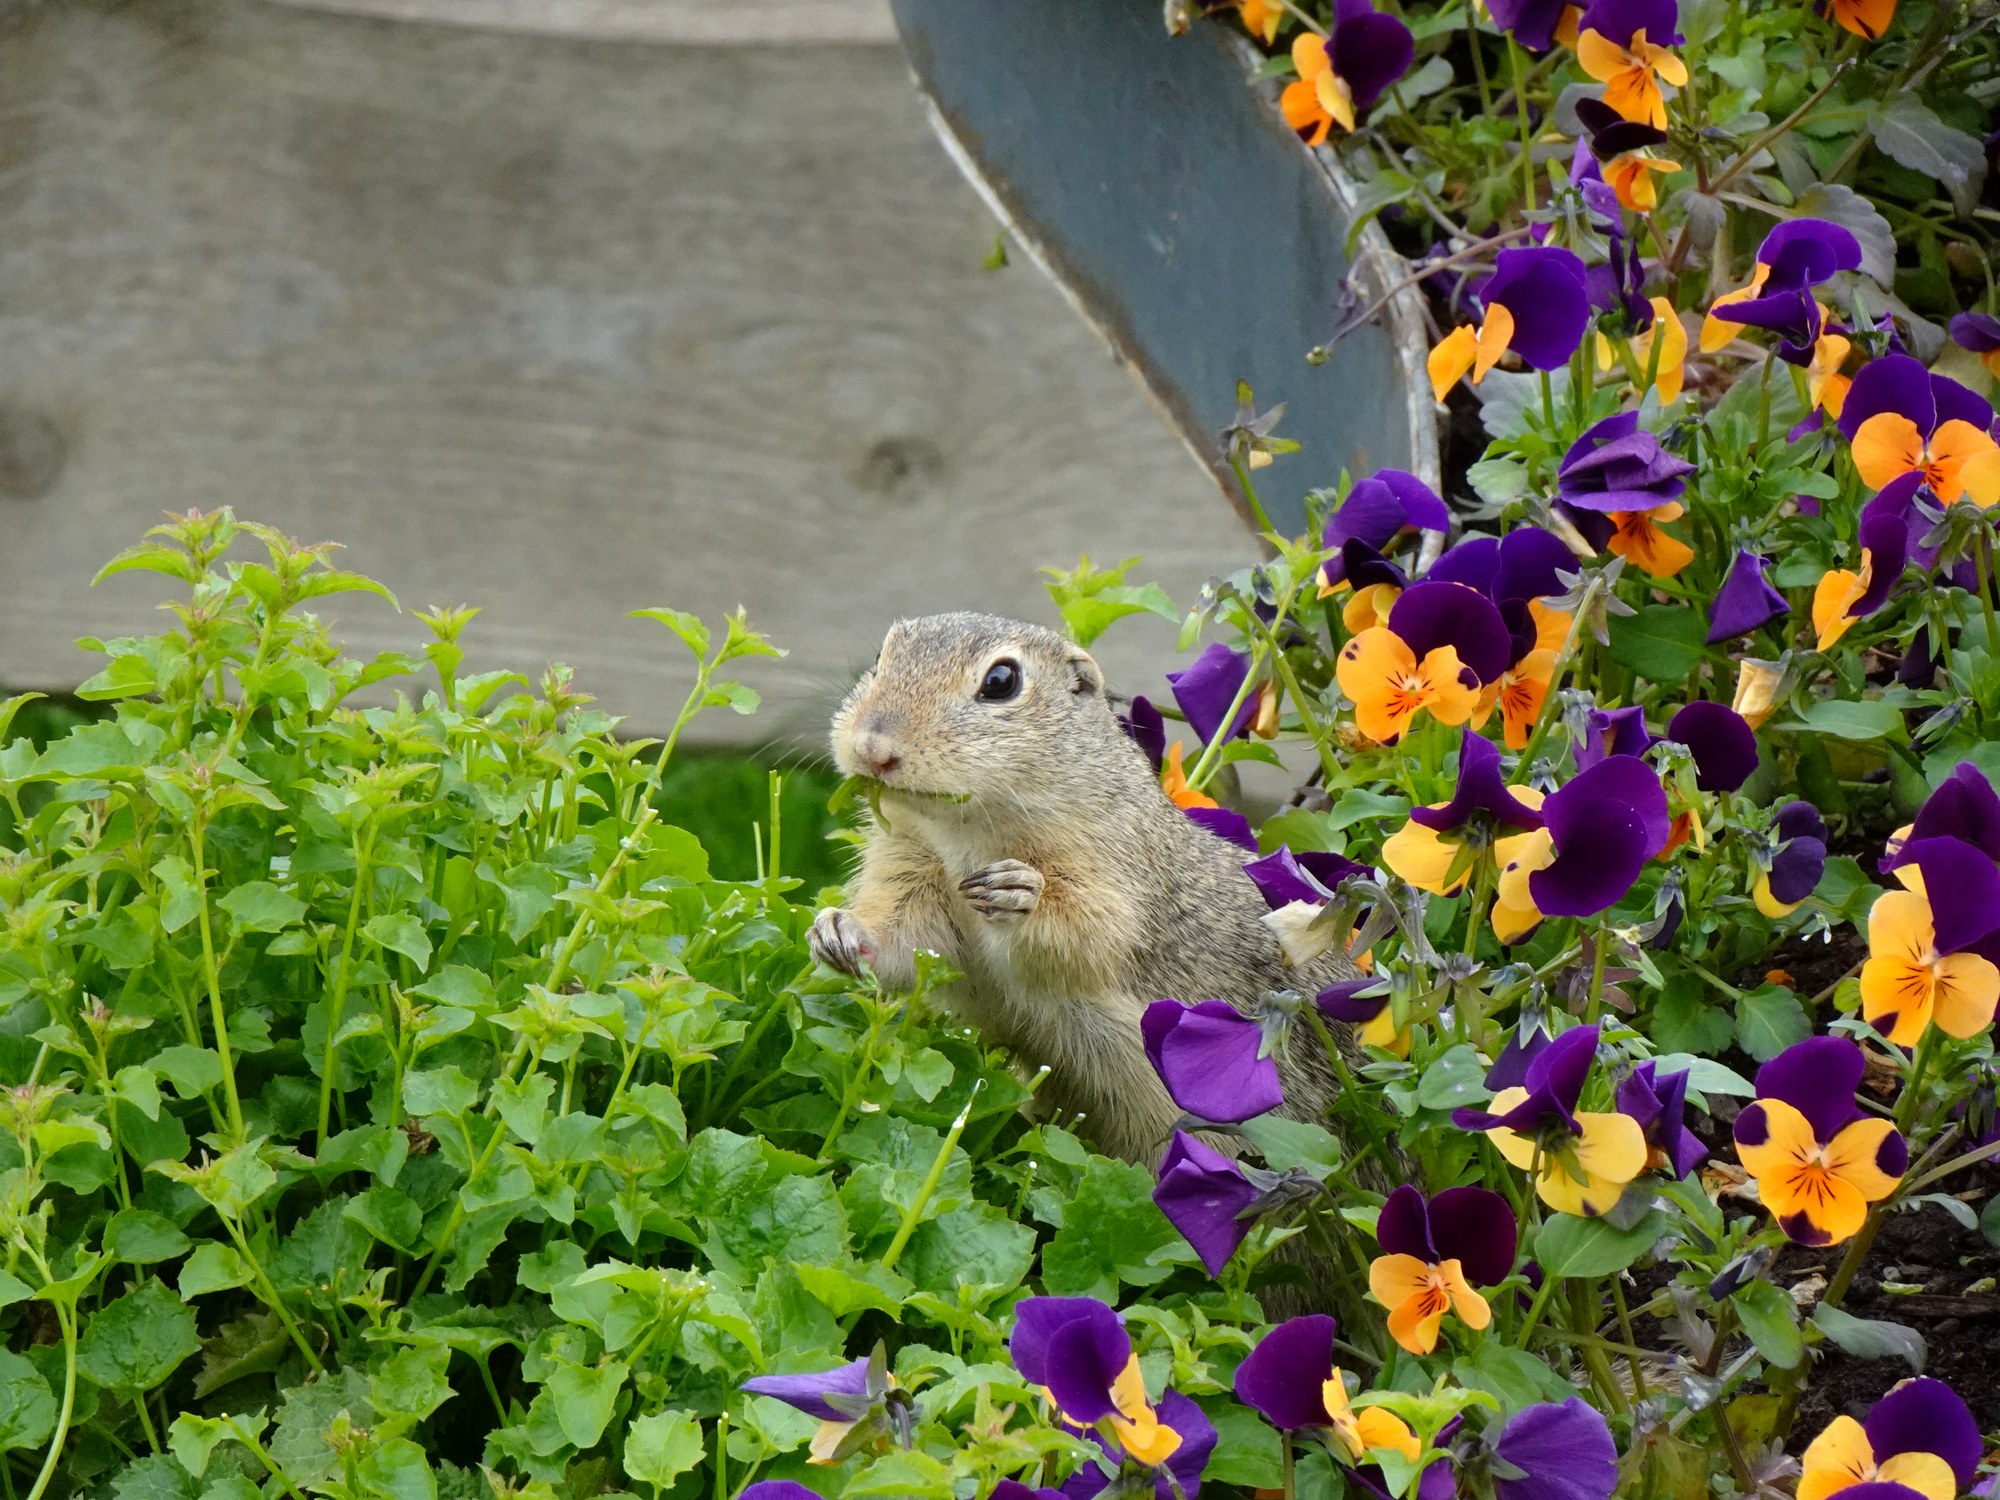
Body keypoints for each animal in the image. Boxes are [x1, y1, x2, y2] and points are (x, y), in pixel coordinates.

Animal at [810, 611, 1368, 1166]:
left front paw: (1021, 893)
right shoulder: (912, 867)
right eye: (880, 658)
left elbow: (1082, 932)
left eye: (1001, 680)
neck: (962, 836)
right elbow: (907, 941)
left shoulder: (1115, 873)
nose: (872, 749)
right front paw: (837, 930)